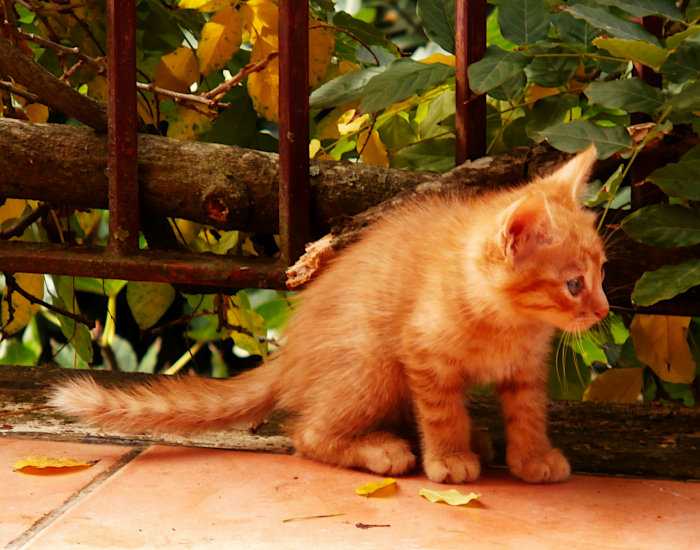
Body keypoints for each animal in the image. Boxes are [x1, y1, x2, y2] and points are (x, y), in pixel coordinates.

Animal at [50, 146, 608, 484]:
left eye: (603, 270)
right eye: (573, 285)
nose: (602, 310)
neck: (509, 321)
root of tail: (290, 356)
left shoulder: (526, 370)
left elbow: (528, 412)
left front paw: (532, 458)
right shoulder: (421, 353)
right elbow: (441, 411)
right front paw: (449, 459)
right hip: (372, 365)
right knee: (309, 435)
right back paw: (384, 449)